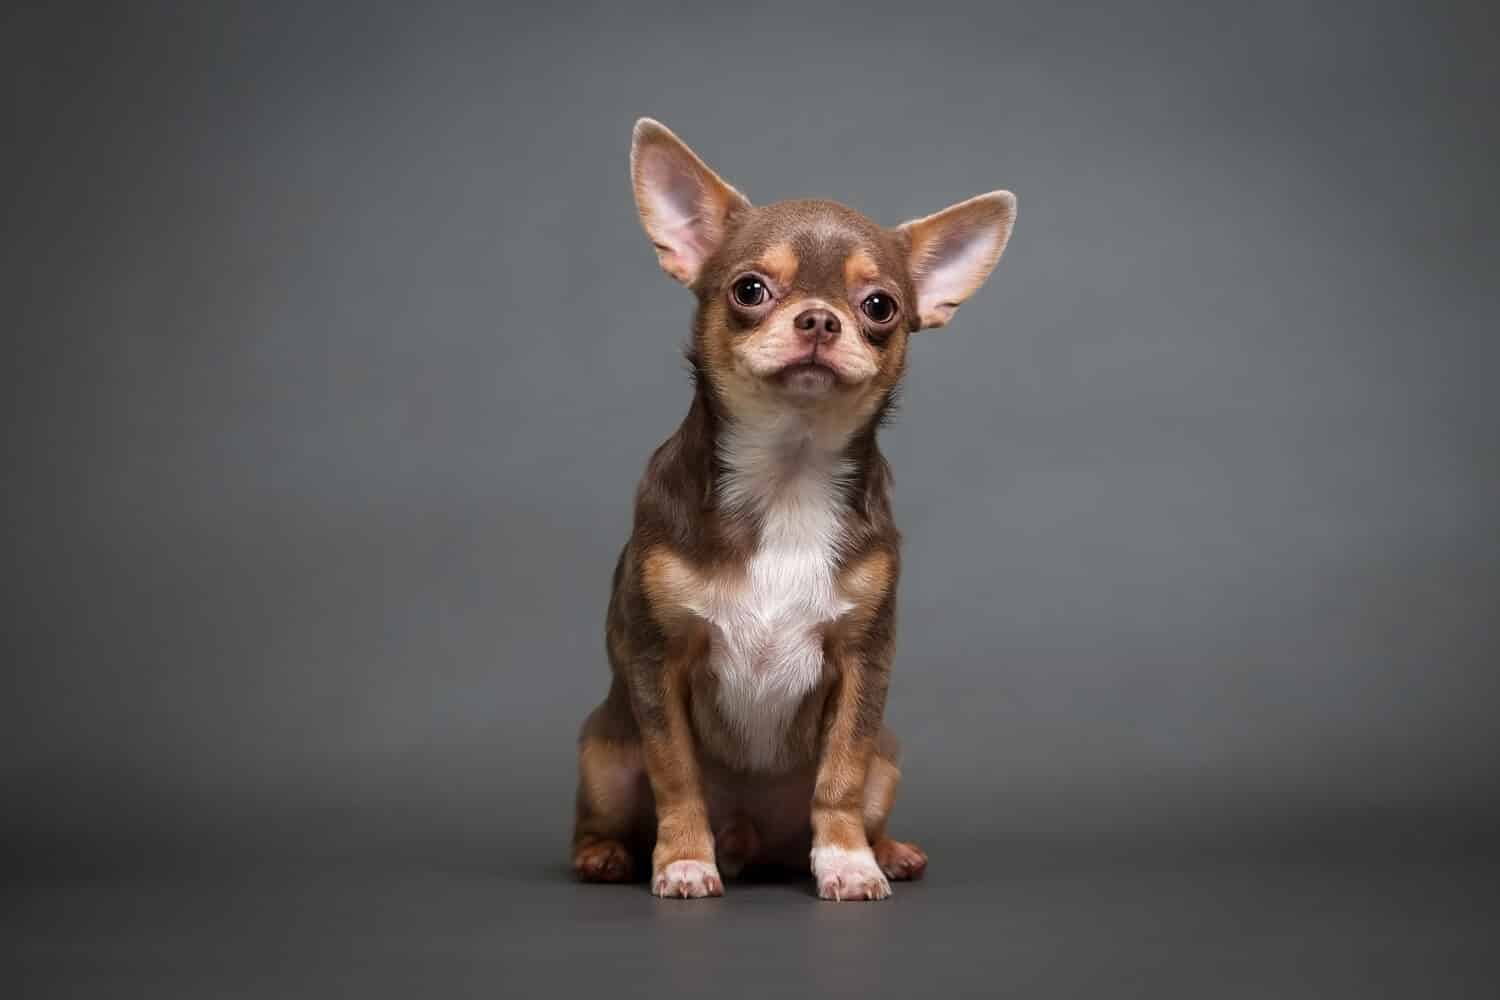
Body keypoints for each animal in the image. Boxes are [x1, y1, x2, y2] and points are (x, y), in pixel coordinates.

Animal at [567, 121, 1014, 905]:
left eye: (879, 306)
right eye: (750, 289)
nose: (818, 319)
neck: (788, 476)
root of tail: (752, 840)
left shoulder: (863, 664)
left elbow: (840, 773)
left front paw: (847, 862)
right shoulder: (658, 658)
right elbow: (675, 773)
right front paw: (684, 861)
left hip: (888, 760)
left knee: (857, 790)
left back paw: (886, 849)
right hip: (604, 758)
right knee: (601, 817)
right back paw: (608, 856)